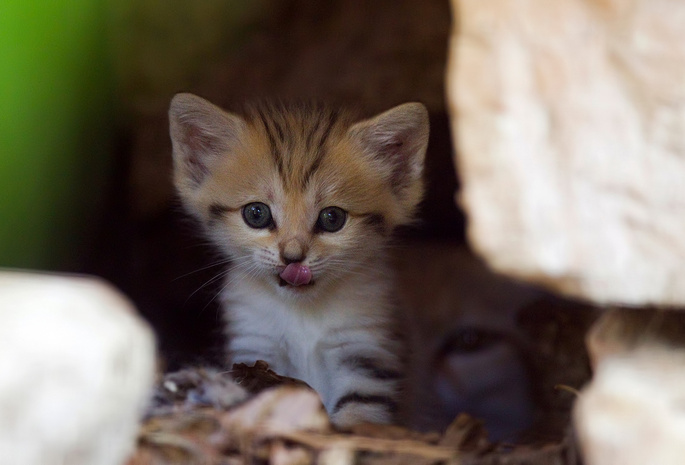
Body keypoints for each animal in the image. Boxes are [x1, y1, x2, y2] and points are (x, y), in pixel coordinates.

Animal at [168, 92, 428, 426]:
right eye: (256, 213)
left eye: (332, 218)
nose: (293, 257)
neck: (302, 312)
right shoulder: (254, 346)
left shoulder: (364, 349)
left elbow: (361, 413)